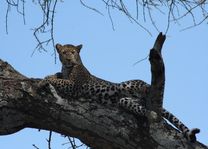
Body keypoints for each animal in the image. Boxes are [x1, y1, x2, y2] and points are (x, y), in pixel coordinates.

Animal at [39, 43, 199, 142]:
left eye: (73, 52)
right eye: (64, 52)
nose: (68, 59)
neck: (67, 68)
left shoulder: (75, 86)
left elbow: (60, 81)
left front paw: (46, 79)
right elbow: (58, 76)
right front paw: (52, 75)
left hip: (127, 85)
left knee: (146, 89)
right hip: (126, 101)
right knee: (146, 111)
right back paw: (152, 114)